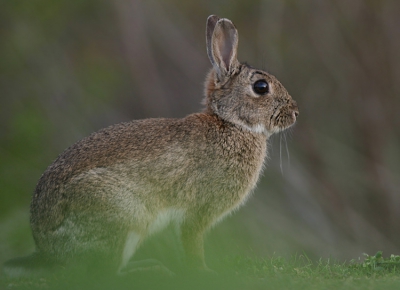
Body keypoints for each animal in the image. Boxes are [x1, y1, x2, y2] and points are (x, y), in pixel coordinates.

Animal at [3, 14, 296, 278]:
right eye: (261, 87)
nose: (295, 113)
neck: (231, 123)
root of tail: (47, 249)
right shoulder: (198, 209)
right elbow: (192, 242)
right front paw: (204, 271)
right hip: (122, 216)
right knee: (103, 273)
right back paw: (149, 269)